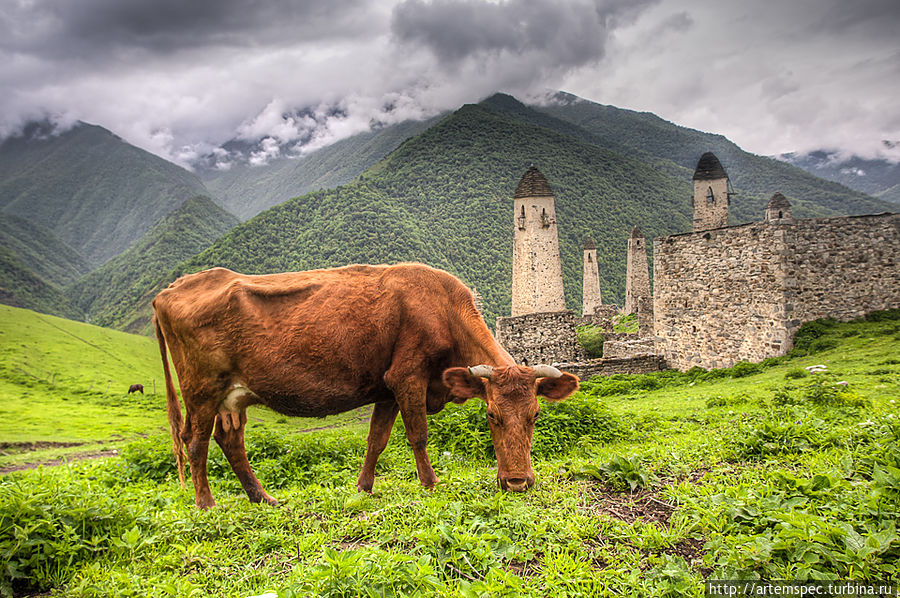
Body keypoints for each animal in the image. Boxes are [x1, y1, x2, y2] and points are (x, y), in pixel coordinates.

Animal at [153, 264, 576, 508]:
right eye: (490, 414)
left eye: (536, 415)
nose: (517, 482)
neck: (444, 308)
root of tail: (170, 289)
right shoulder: (407, 376)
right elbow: (418, 435)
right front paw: (430, 484)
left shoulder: (387, 388)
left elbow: (377, 439)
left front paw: (364, 487)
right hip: (201, 391)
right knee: (195, 443)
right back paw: (206, 504)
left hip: (232, 398)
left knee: (230, 442)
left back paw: (264, 498)